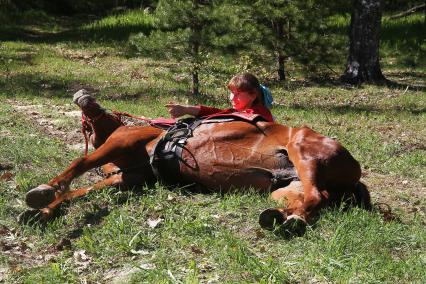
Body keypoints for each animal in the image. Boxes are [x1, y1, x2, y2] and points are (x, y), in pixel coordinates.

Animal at [25, 93, 370, 235]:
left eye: (88, 115)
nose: (83, 97)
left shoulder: (119, 144)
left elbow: (79, 163)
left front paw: (43, 193)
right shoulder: (125, 179)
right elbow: (76, 192)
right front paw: (44, 211)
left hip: (301, 151)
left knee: (317, 195)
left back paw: (291, 222)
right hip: (284, 188)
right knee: (314, 200)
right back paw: (283, 218)